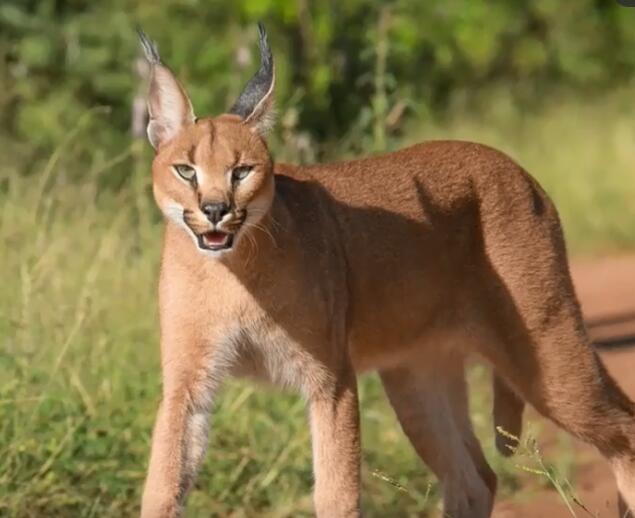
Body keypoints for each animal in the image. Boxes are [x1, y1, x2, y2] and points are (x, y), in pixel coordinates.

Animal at [137, 22, 632, 516]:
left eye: (241, 172)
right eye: (185, 171)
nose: (215, 210)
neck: (230, 271)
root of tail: (514, 167)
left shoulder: (331, 378)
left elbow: (336, 490)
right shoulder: (187, 381)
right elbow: (163, 481)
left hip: (545, 349)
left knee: (623, 425)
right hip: (415, 376)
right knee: (475, 477)